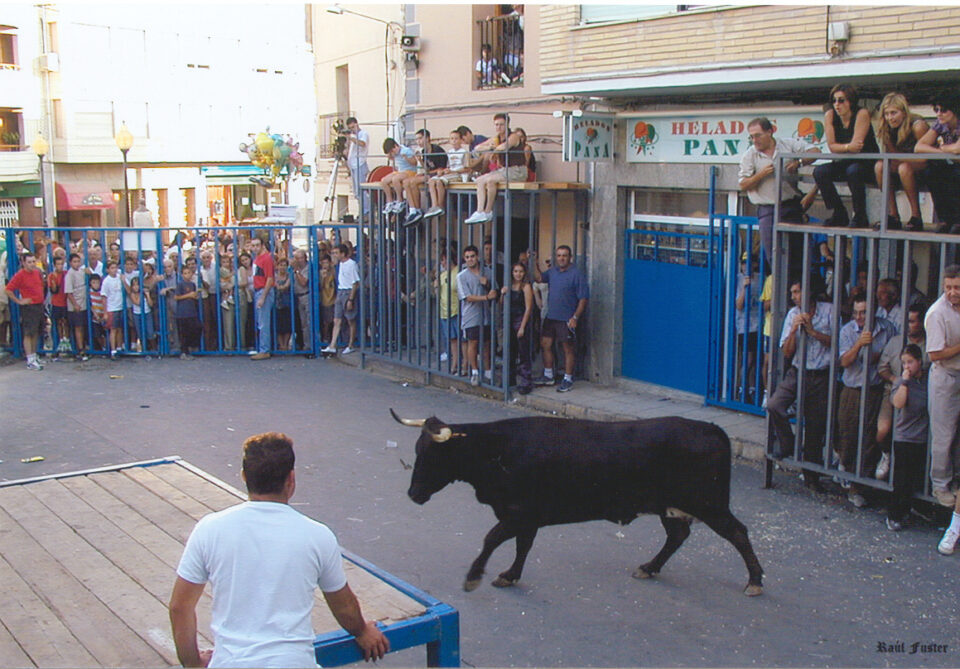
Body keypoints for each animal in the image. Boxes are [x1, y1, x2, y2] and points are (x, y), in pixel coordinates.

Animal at [390, 409, 764, 596]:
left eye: (433, 456)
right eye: (417, 451)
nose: (413, 494)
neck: (497, 450)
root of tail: (710, 428)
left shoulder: (518, 513)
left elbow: (491, 539)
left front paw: (473, 575)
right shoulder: (527, 517)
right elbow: (522, 546)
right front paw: (510, 575)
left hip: (710, 505)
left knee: (738, 533)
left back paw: (755, 581)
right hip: (671, 507)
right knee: (677, 536)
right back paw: (649, 567)